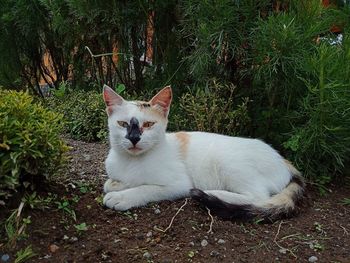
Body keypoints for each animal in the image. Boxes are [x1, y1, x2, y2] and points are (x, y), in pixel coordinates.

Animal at [102, 85, 304, 222]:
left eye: (148, 124)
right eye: (122, 124)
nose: (134, 138)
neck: (131, 161)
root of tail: (284, 161)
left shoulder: (179, 183)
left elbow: (147, 188)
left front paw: (122, 196)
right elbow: (115, 182)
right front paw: (116, 185)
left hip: (229, 162)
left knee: (258, 197)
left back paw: (213, 193)